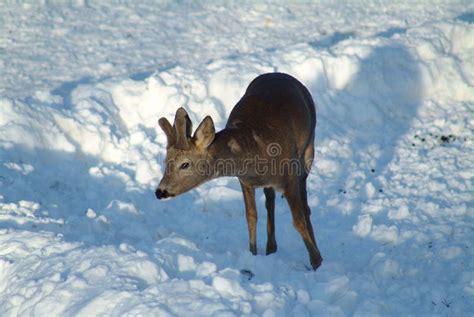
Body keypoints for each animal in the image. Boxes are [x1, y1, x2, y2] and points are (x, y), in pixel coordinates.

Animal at [156, 72, 322, 270]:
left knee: (304, 200)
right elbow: (251, 216)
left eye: (185, 165)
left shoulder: (289, 176)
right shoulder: (244, 180)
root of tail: (282, 74)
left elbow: (298, 221)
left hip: (308, 149)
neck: (254, 150)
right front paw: (252, 254)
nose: (160, 191)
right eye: (166, 161)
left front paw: (317, 262)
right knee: (270, 198)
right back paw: (271, 248)